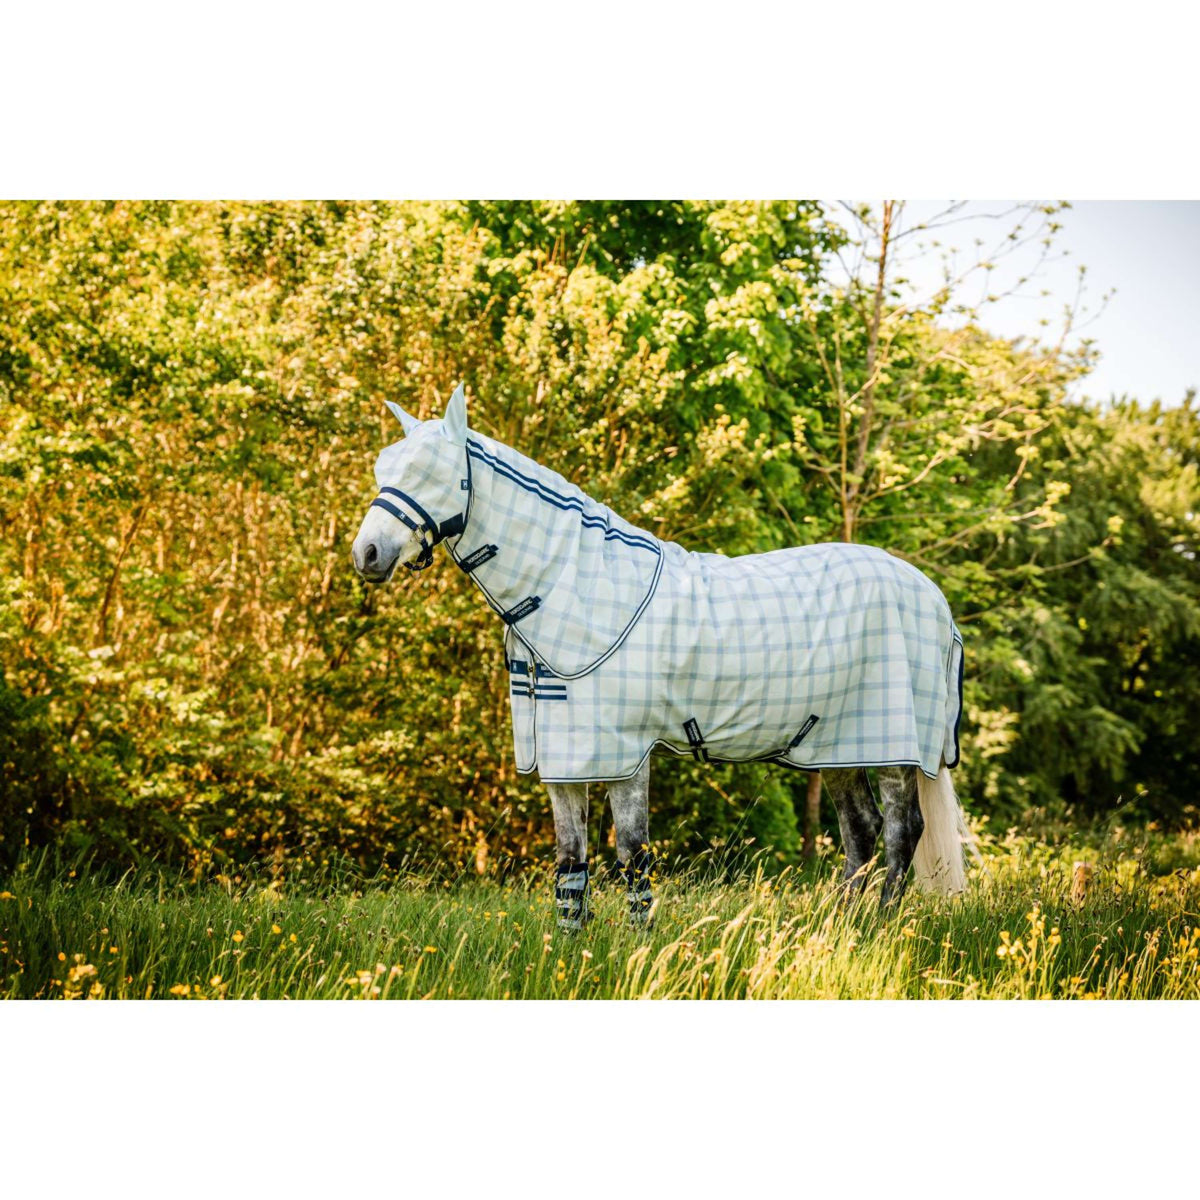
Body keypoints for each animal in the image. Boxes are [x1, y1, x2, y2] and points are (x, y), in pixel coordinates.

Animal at [352, 384, 972, 930]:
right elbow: (570, 862)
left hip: (892, 748)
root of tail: (933, 599)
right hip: (836, 745)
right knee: (861, 831)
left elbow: (632, 856)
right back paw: (837, 930)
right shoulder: (565, 757)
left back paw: (877, 930)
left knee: (899, 833)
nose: (367, 554)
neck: (581, 585)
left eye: (430, 470)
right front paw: (568, 949)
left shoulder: (625, 754)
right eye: (385, 468)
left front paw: (636, 945)